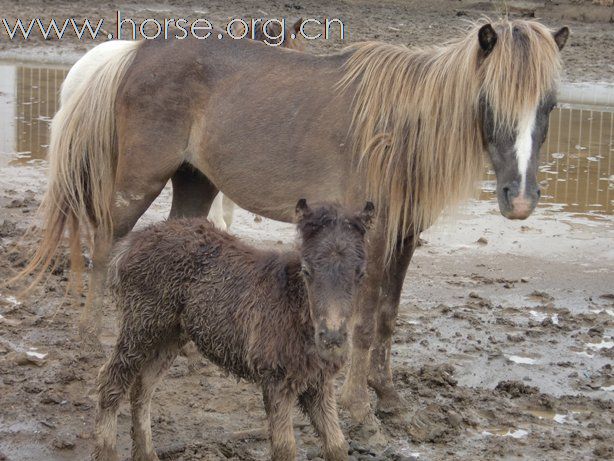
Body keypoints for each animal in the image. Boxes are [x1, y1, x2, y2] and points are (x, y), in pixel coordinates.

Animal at [20, 19, 572, 426]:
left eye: (549, 106)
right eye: (489, 102)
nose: (521, 201)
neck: (398, 128)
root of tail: (133, 52)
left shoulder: (404, 237)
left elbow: (387, 318)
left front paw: (390, 399)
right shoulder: (370, 240)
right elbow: (363, 323)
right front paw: (359, 409)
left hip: (195, 182)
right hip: (139, 181)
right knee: (104, 244)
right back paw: (90, 331)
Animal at [95, 199, 376, 458]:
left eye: (361, 273)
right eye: (307, 271)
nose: (332, 338)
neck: (297, 310)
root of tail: (132, 243)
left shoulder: (319, 382)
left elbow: (337, 445)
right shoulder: (275, 378)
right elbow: (285, 449)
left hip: (169, 335)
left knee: (142, 388)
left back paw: (147, 454)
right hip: (141, 324)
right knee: (111, 382)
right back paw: (107, 451)